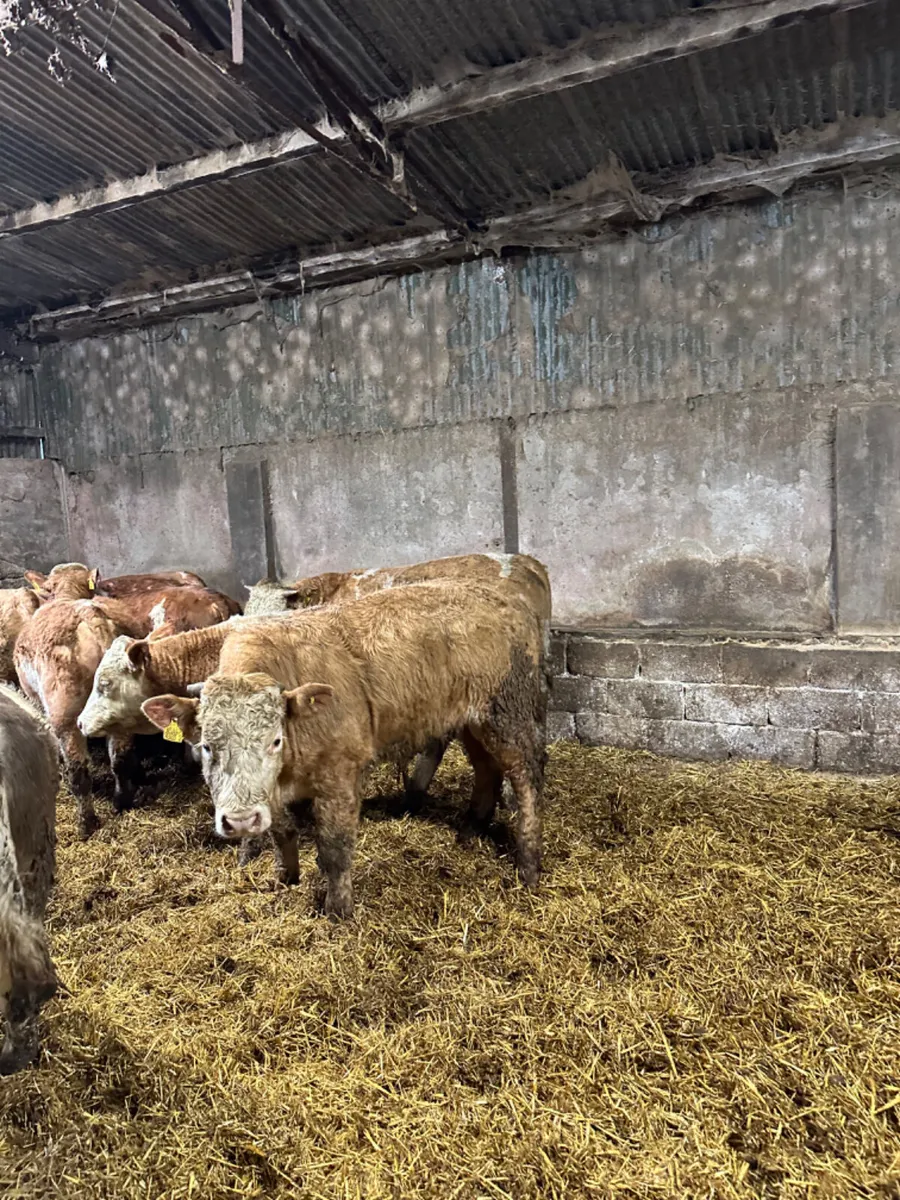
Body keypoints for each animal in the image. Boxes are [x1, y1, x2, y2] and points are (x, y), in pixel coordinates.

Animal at [15, 586, 240, 837]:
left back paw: (87, 824)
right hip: (118, 719)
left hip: (66, 717)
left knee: (79, 774)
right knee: (121, 760)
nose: (83, 722)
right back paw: (122, 802)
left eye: (104, 683)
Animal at [143, 580, 547, 919]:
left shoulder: (340, 770)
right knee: (486, 769)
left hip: (505, 711)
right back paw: (469, 831)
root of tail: (503, 598)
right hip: (469, 720)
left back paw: (529, 864)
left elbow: (334, 849)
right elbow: (280, 831)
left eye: (275, 740)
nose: (240, 821)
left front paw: (337, 912)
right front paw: (283, 879)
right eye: (206, 746)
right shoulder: (269, 791)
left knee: (525, 775)